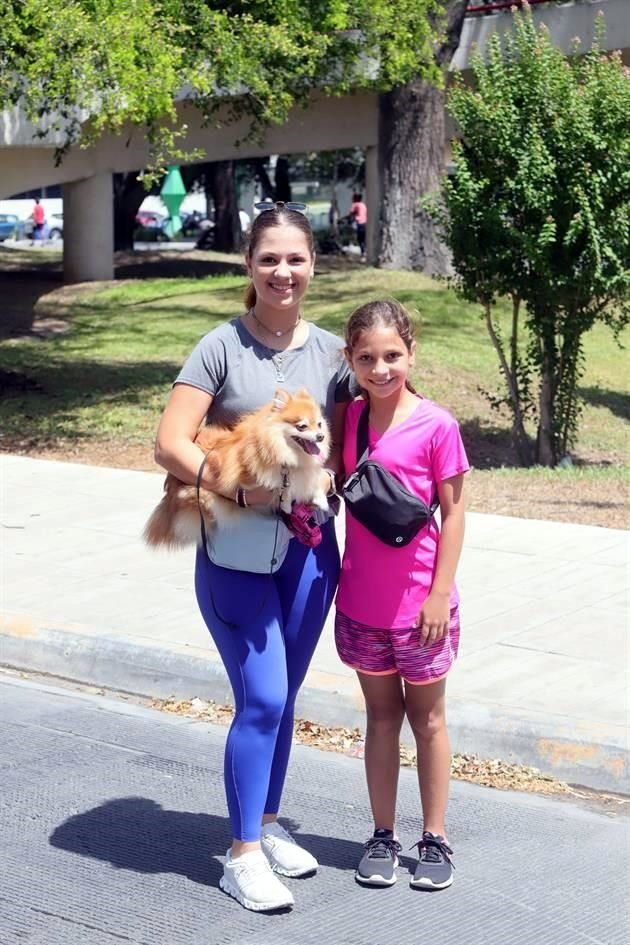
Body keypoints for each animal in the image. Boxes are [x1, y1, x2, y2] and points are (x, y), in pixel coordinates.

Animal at [143, 388, 330, 548]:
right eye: (302, 426)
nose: (321, 436)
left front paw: (321, 498)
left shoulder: (306, 472)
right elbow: (281, 487)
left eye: (319, 424)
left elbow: (317, 479)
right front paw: (286, 503)